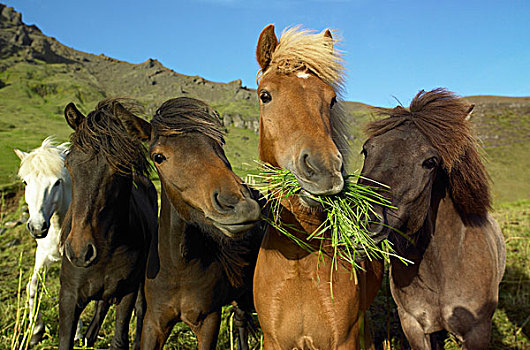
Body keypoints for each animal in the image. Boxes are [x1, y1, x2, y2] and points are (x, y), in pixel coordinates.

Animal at [14, 137, 83, 344]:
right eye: (25, 182)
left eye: (57, 182)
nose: (37, 227)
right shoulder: (43, 255)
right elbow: (31, 286)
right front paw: (35, 330)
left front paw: (77, 333)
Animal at [59, 98, 157, 350]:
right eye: (69, 164)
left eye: (119, 167)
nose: (79, 251)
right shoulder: (69, 297)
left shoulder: (127, 292)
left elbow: (120, 338)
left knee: (141, 310)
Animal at [122, 96, 264, 350]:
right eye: (158, 157)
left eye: (219, 144)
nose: (240, 205)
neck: (180, 268)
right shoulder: (153, 322)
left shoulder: (208, 321)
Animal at [253, 23, 384, 348]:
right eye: (265, 95)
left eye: (332, 99)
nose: (325, 169)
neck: (300, 261)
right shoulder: (273, 341)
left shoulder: (345, 339)